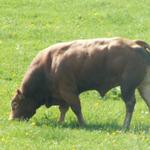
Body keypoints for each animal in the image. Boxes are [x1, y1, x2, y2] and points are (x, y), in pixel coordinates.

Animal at [9, 37, 150, 129]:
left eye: (14, 104)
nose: (11, 119)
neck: (50, 64)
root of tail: (135, 44)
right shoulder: (63, 95)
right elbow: (63, 109)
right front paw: (60, 122)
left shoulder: (69, 92)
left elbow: (76, 108)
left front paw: (83, 124)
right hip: (143, 86)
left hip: (127, 88)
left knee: (130, 104)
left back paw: (125, 126)